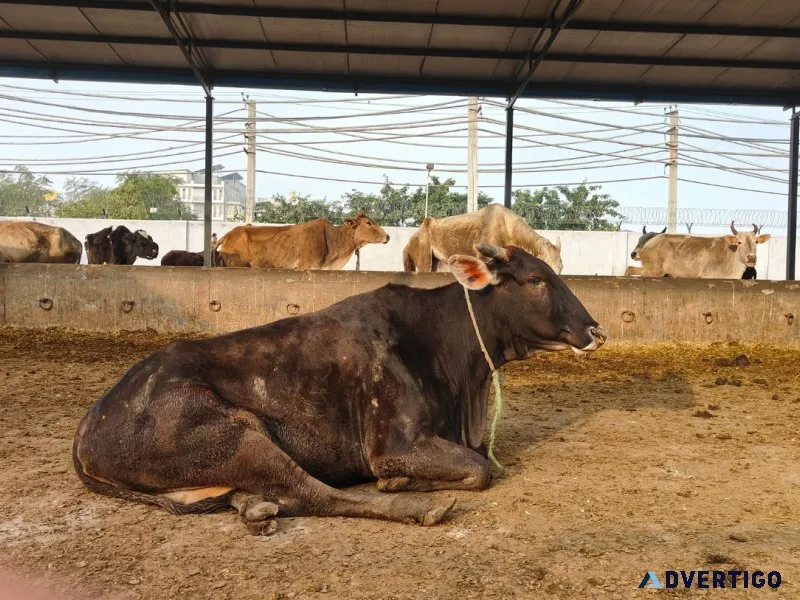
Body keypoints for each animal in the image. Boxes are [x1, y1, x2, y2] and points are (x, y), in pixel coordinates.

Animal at [73, 244, 606, 535]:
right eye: (536, 279)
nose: (596, 330)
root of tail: (89, 424)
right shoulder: (393, 444)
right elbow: (479, 469)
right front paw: (403, 483)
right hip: (239, 436)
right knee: (312, 493)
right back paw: (420, 507)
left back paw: (254, 508)